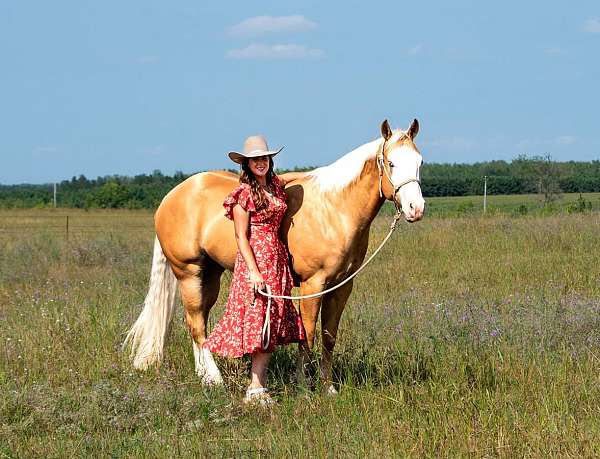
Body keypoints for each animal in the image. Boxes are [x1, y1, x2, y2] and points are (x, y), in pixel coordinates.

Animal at [124, 118, 426, 396]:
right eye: (391, 163)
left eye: (419, 162)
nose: (416, 208)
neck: (333, 209)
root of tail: (171, 196)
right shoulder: (313, 285)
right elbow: (308, 335)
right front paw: (304, 386)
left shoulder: (342, 286)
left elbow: (329, 337)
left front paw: (328, 387)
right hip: (189, 273)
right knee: (196, 325)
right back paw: (215, 379)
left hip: (209, 275)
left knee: (198, 323)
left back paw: (205, 375)